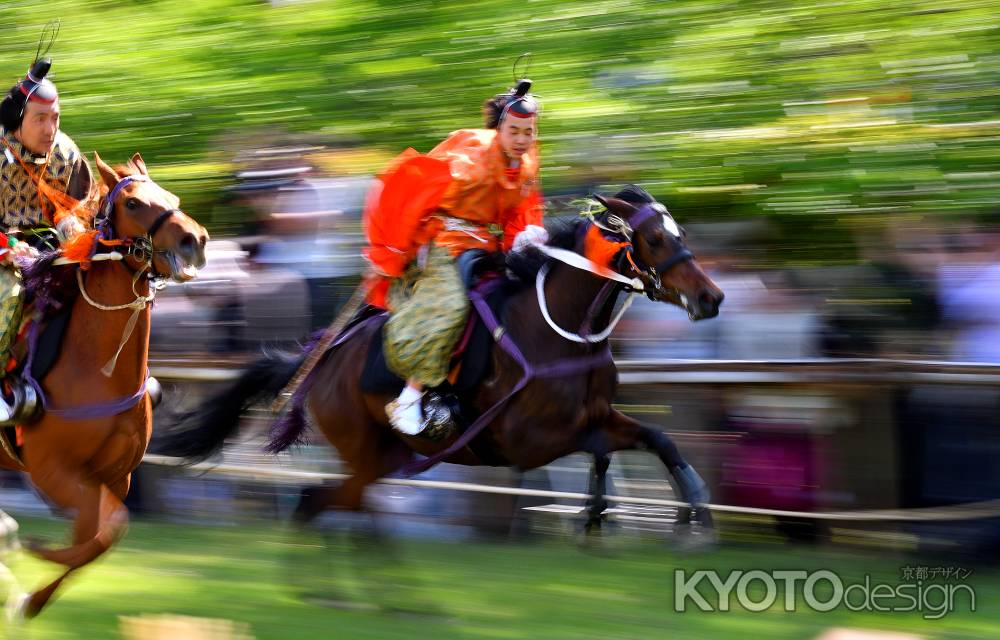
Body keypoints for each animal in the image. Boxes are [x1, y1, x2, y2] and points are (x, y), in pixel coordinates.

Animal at [0, 152, 207, 616]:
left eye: (172, 197)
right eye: (132, 203)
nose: (195, 239)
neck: (97, 369)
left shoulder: (113, 477)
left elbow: (102, 535)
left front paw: (33, 596)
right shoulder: (51, 471)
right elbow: (105, 530)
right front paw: (35, 555)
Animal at [156, 185, 720, 540]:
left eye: (682, 234)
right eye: (655, 238)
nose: (711, 298)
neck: (562, 330)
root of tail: (321, 359)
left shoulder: (598, 412)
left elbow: (658, 438)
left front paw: (693, 508)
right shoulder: (526, 442)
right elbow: (599, 446)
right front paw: (600, 510)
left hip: (382, 457)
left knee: (328, 499)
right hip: (363, 446)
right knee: (325, 499)